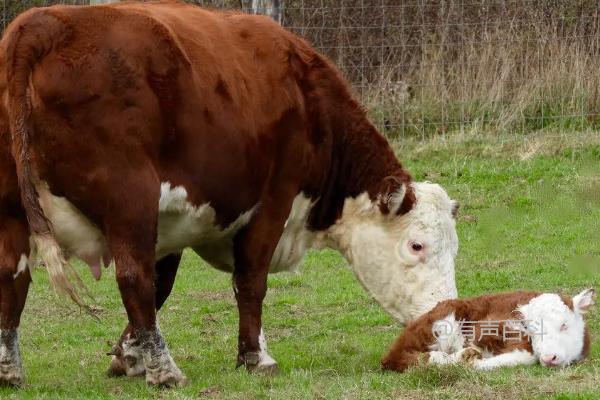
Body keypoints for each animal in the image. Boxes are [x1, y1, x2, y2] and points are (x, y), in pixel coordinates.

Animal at [0, 0, 460, 388]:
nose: (448, 330)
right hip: (130, 200)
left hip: (16, 212)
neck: (306, 95)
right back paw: (167, 372)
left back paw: (10, 370)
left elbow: (164, 284)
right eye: (416, 245)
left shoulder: (173, 220)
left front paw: (127, 355)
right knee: (133, 277)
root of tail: (42, 23)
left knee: (13, 277)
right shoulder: (272, 203)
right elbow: (249, 281)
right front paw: (255, 357)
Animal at [382, 290, 592, 372]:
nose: (549, 358)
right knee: (405, 357)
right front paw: (474, 360)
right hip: (442, 323)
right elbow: (524, 356)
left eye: (564, 325)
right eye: (532, 329)